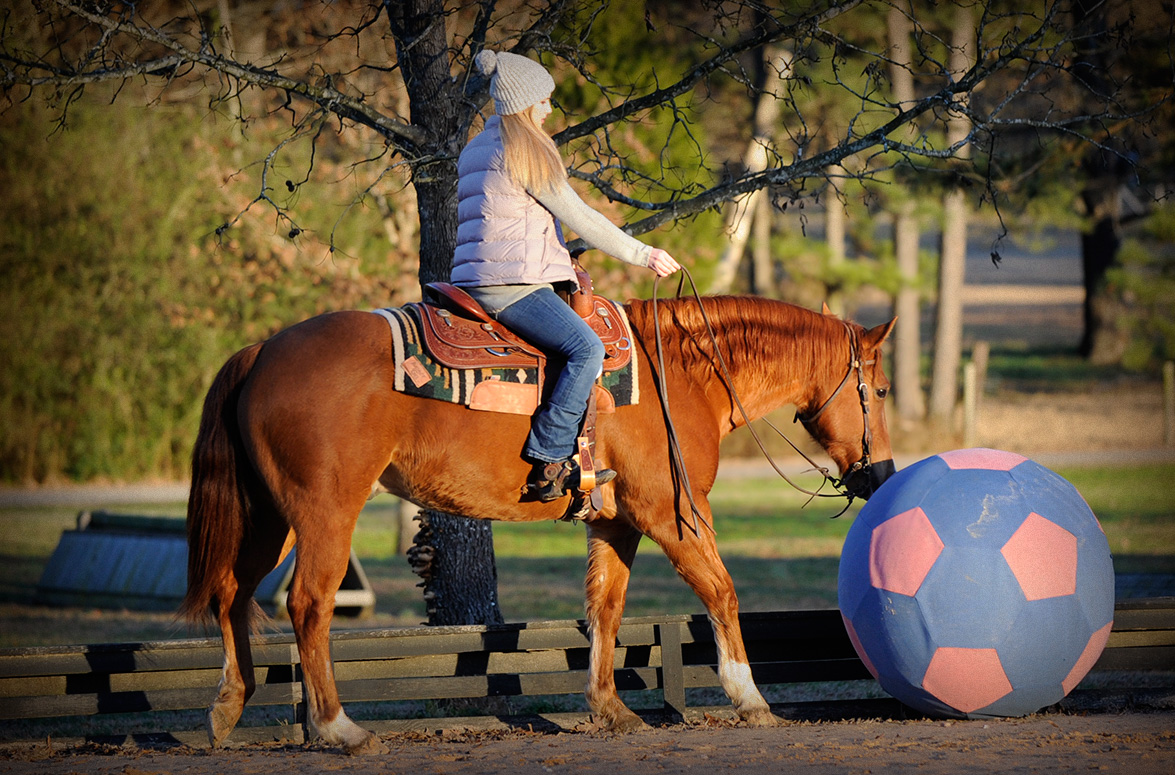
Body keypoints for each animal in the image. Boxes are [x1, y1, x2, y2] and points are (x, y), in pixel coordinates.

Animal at [180, 294, 897, 751]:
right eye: (884, 390)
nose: (882, 474)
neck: (682, 373)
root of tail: (262, 351)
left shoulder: (616, 522)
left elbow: (604, 608)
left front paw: (609, 709)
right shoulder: (675, 514)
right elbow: (721, 591)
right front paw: (749, 697)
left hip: (270, 519)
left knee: (232, 596)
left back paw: (227, 708)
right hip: (326, 512)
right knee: (308, 604)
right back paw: (338, 729)